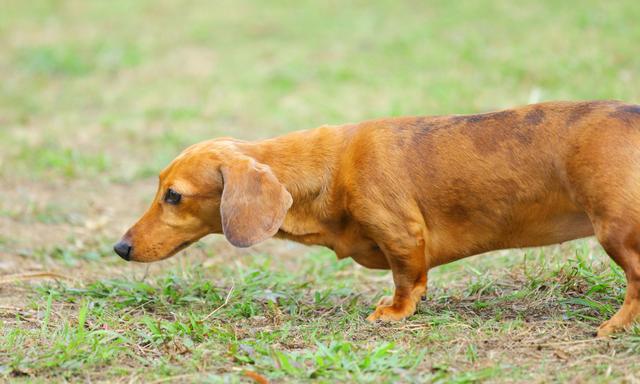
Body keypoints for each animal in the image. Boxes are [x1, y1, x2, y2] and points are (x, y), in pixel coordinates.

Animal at [114, 101, 640, 336]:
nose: (120, 247)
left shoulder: (401, 236)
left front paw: (394, 312)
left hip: (615, 231)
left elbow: (407, 280)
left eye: (174, 196)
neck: (329, 168)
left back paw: (615, 325)